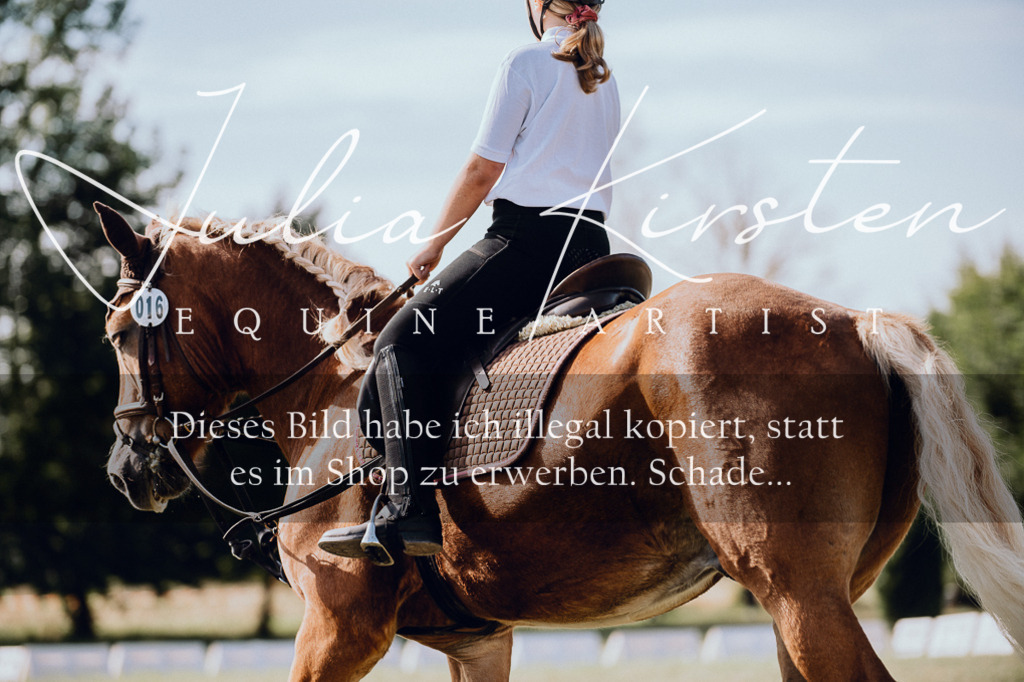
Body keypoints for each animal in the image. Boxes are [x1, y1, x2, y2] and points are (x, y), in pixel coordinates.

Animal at [95, 203, 1024, 681]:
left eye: (119, 334)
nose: (126, 470)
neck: (331, 391)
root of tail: (855, 322)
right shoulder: (479, 640)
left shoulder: (337, 627)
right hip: (810, 601)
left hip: (800, 596)